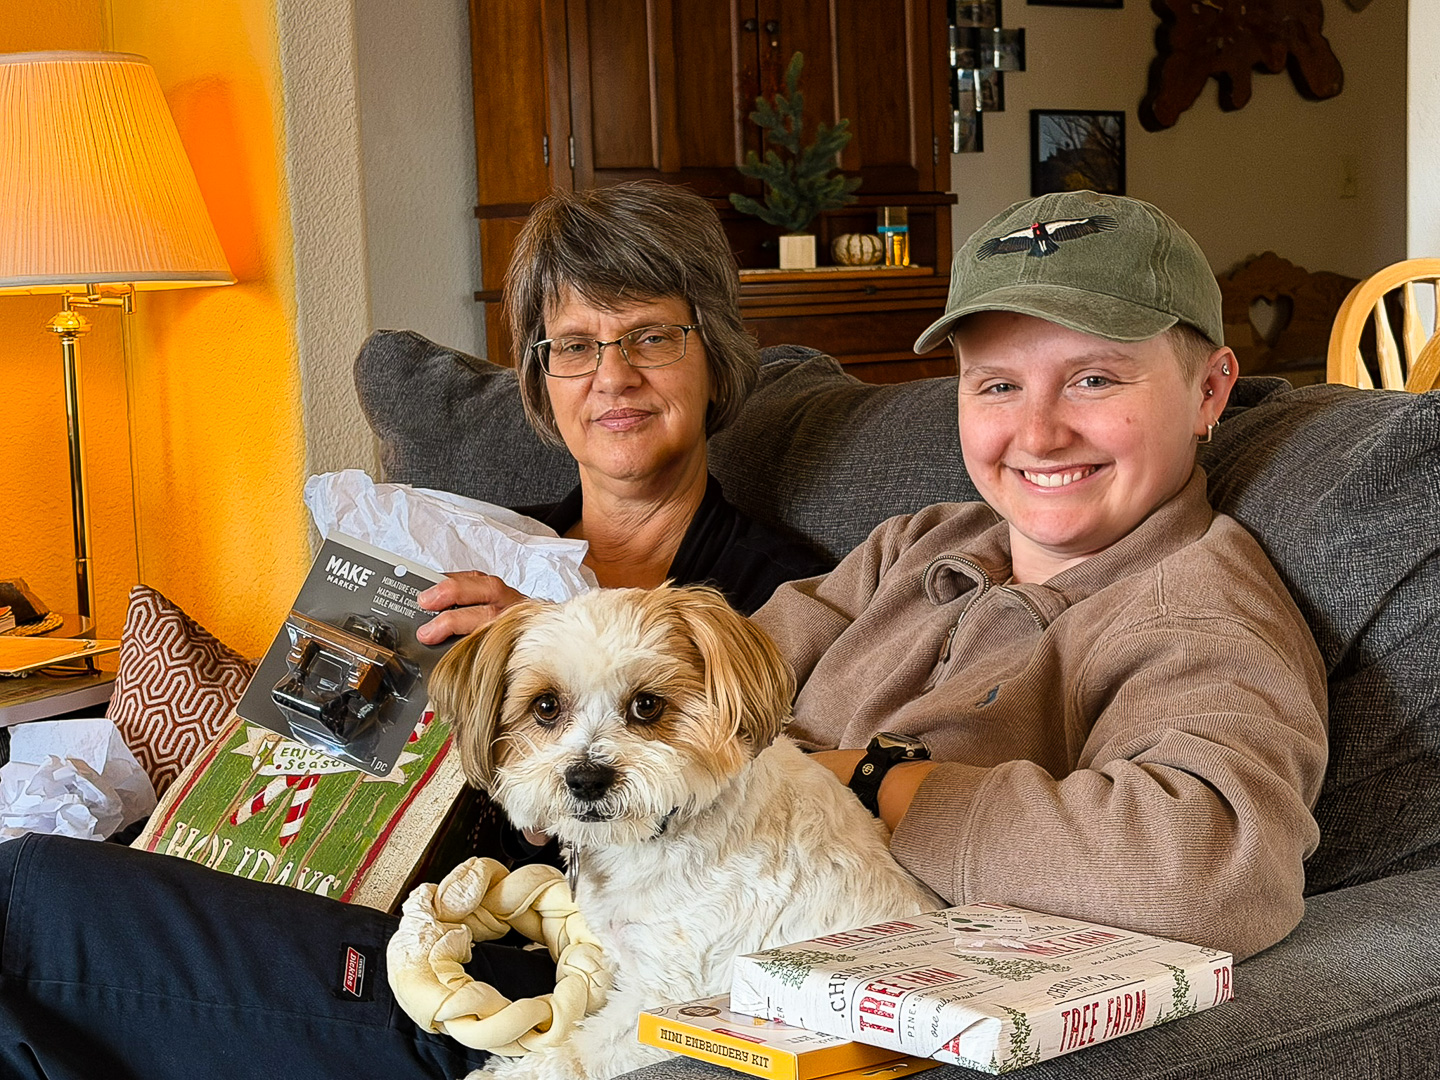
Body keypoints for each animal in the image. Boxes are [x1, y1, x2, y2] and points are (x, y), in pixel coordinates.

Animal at [429, 584, 944, 1080]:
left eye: (647, 705)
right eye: (546, 706)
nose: (586, 778)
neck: (660, 830)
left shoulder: (665, 998)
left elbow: (577, 1053)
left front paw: (505, 1072)